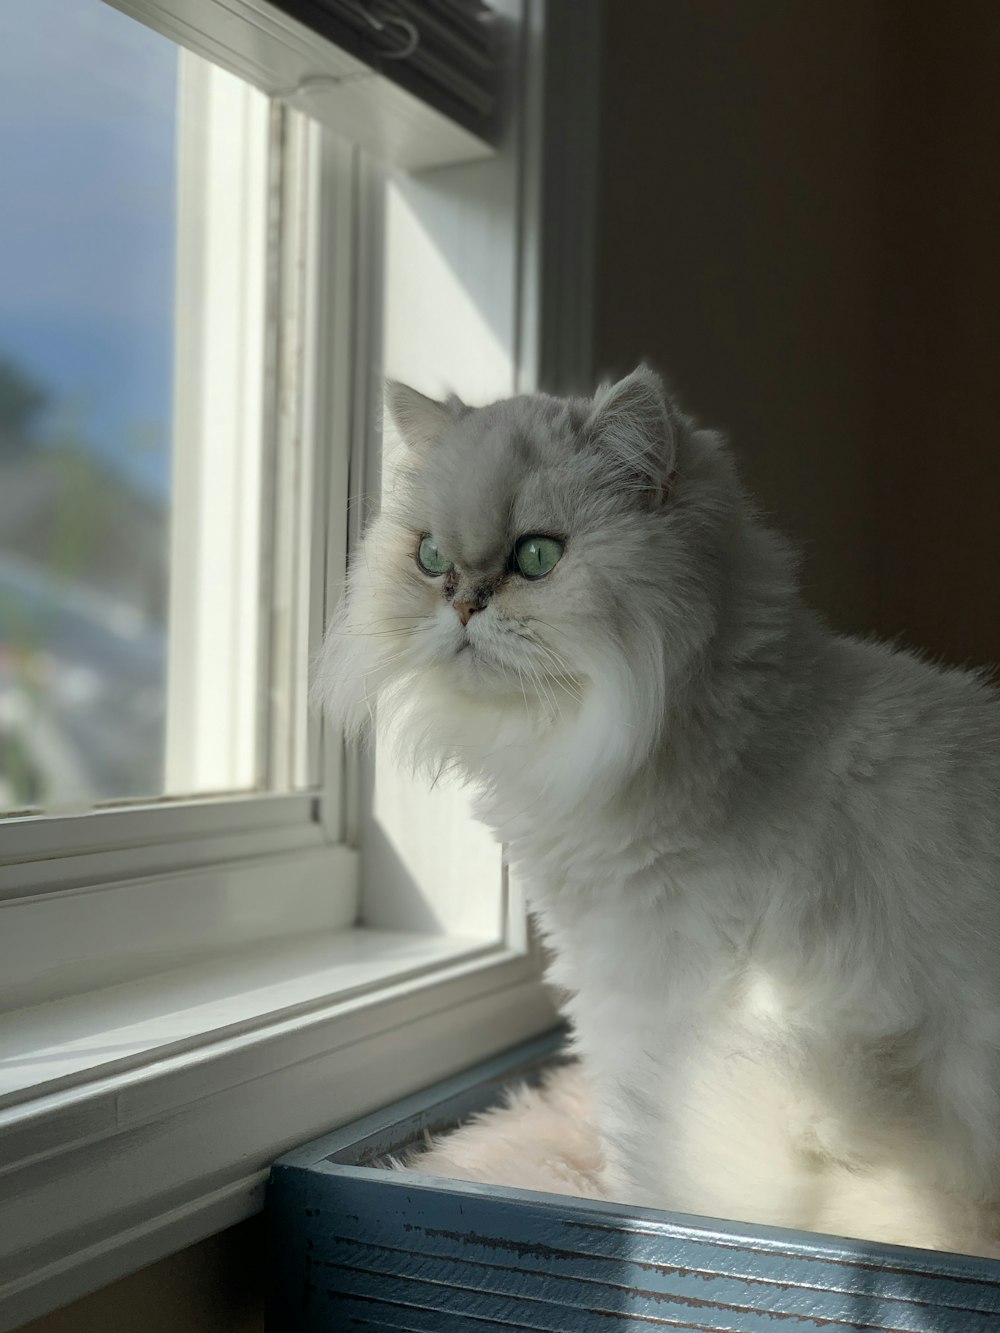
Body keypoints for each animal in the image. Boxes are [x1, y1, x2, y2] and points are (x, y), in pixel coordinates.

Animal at [318, 367, 1000, 1258]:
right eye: (430, 558)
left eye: (536, 557)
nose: (460, 602)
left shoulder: (643, 990)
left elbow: (635, 1139)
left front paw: (623, 1205)